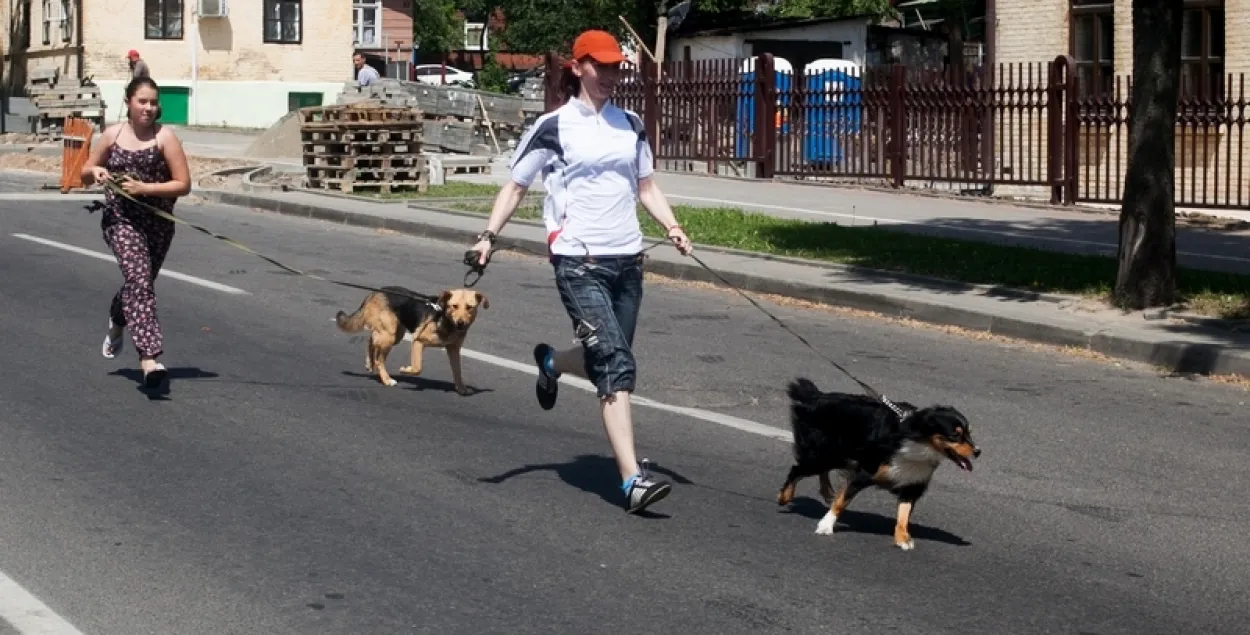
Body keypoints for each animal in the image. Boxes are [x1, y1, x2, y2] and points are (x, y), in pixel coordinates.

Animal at [332, 286, 487, 392]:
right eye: (454, 306)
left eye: (470, 307)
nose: (461, 323)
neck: (443, 317)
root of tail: (375, 293)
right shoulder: (418, 341)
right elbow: (418, 368)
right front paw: (406, 370)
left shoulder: (453, 349)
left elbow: (457, 371)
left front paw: (461, 389)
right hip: (390, 335)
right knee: (379, 359)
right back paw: (387, 379)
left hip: (395, 335)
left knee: (372, 340)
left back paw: (369, 364)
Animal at [775, 377, 980, 550]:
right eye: (955, 435)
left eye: (969, 433)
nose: (978, 451)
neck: (917, 441)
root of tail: (815, 396)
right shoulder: (865, 471)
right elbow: (842, 502)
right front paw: (826, 525)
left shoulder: (912, 483)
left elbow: (903, 515)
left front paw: (902, 538)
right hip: (824, 453)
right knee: (798, 469)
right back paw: (785, 497)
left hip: (835, 455)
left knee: (820, 471)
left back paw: (826, 491)